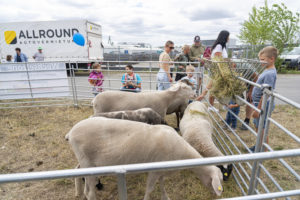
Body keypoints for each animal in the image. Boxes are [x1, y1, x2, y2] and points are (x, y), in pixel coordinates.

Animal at [67, 117, 224, 200]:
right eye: (219, 181)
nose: (217, 195)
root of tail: (71, 132)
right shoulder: (154, 171)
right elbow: (150, 189)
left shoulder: (162, 171)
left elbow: (162, 184)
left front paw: (165, 197)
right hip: (88, 163)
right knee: (90, 191)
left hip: (86, 161)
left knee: (79, 172)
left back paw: (79, 192)